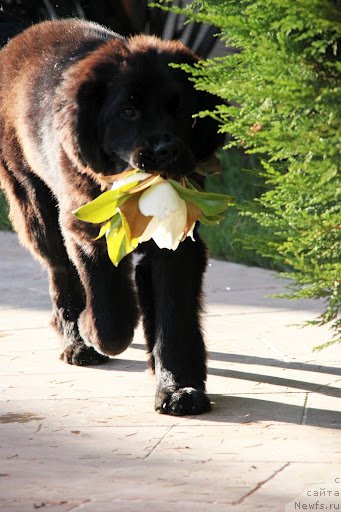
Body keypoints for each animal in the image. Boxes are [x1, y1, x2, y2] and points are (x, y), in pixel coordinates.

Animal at [0, 19, 223, 416]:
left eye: (180, 109)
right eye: (128, 112)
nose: (166, 151)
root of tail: (27, 33)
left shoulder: (178, 242)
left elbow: (174, 315)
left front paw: (178, 386)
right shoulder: (87, 229)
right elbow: (110, 312)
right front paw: (93, 330)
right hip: (34, 204)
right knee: (61, 273)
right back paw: (75, 338)